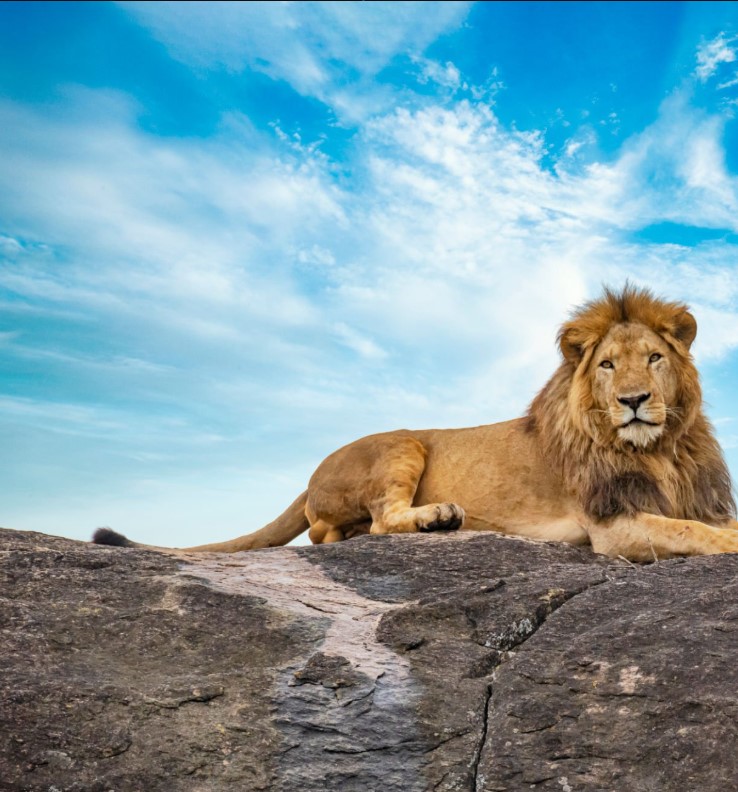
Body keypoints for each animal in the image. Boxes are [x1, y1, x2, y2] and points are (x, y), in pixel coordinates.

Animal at [93, 286, 738, 561]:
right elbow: (694, 533)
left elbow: (704, 524)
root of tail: (309, 476)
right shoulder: (611, 525)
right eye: (607, 365)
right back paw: (438, 518)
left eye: (653, 359)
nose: (633, 400)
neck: (659, 450)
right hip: (401, 444)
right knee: (365, 525)